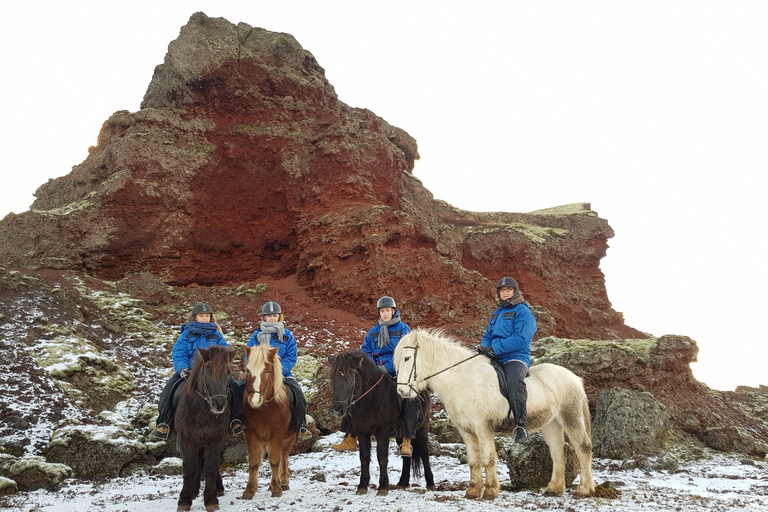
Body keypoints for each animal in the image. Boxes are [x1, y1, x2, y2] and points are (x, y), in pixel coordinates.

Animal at [173, 344, 236, 512]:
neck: (203, 411)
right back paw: (194, 491)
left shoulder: (215, 438)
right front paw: (184, 500)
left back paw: (216, 488)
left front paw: (211, 499)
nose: (219, 404)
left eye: (228, 372)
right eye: (207, 371)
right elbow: (189, 467)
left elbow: (211, 466)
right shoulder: (188, 439)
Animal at [242, 342, 296, 498]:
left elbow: (275, 460)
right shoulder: (251, 434)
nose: (255, 400)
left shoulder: (277, 434)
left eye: (267, 371)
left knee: (283, 456)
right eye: (248, 370)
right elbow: (254, 462)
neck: (264, 410)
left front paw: (277, 487)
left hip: (290, 437)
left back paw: (283, 481)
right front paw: (250, 489)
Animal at [328, 352, 436, 496]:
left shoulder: (383, 432)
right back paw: (402, 482)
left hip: (421, 428)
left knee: (424, 452)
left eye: (349, 379)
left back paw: (430, 484)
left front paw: (383, 487)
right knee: (406, 457)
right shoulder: (362, 433)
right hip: (400, 434)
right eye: (333, 379)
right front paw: (362, 486)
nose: (337, 409)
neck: (372, 400)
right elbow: (364, 458)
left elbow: (382, 457)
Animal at [392, 328, 596, 500]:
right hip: (551, 424)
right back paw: (554, 489)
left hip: (571, 418)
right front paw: (473, 490)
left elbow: (487, 458)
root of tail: (574, 378)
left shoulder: (483, 427)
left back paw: (584, 489)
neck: (463, 380)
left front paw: (490, 491)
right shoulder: (466, 430)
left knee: (583, 448)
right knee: (558, 452)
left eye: (407, 358)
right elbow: (474, 461)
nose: (401, 391)